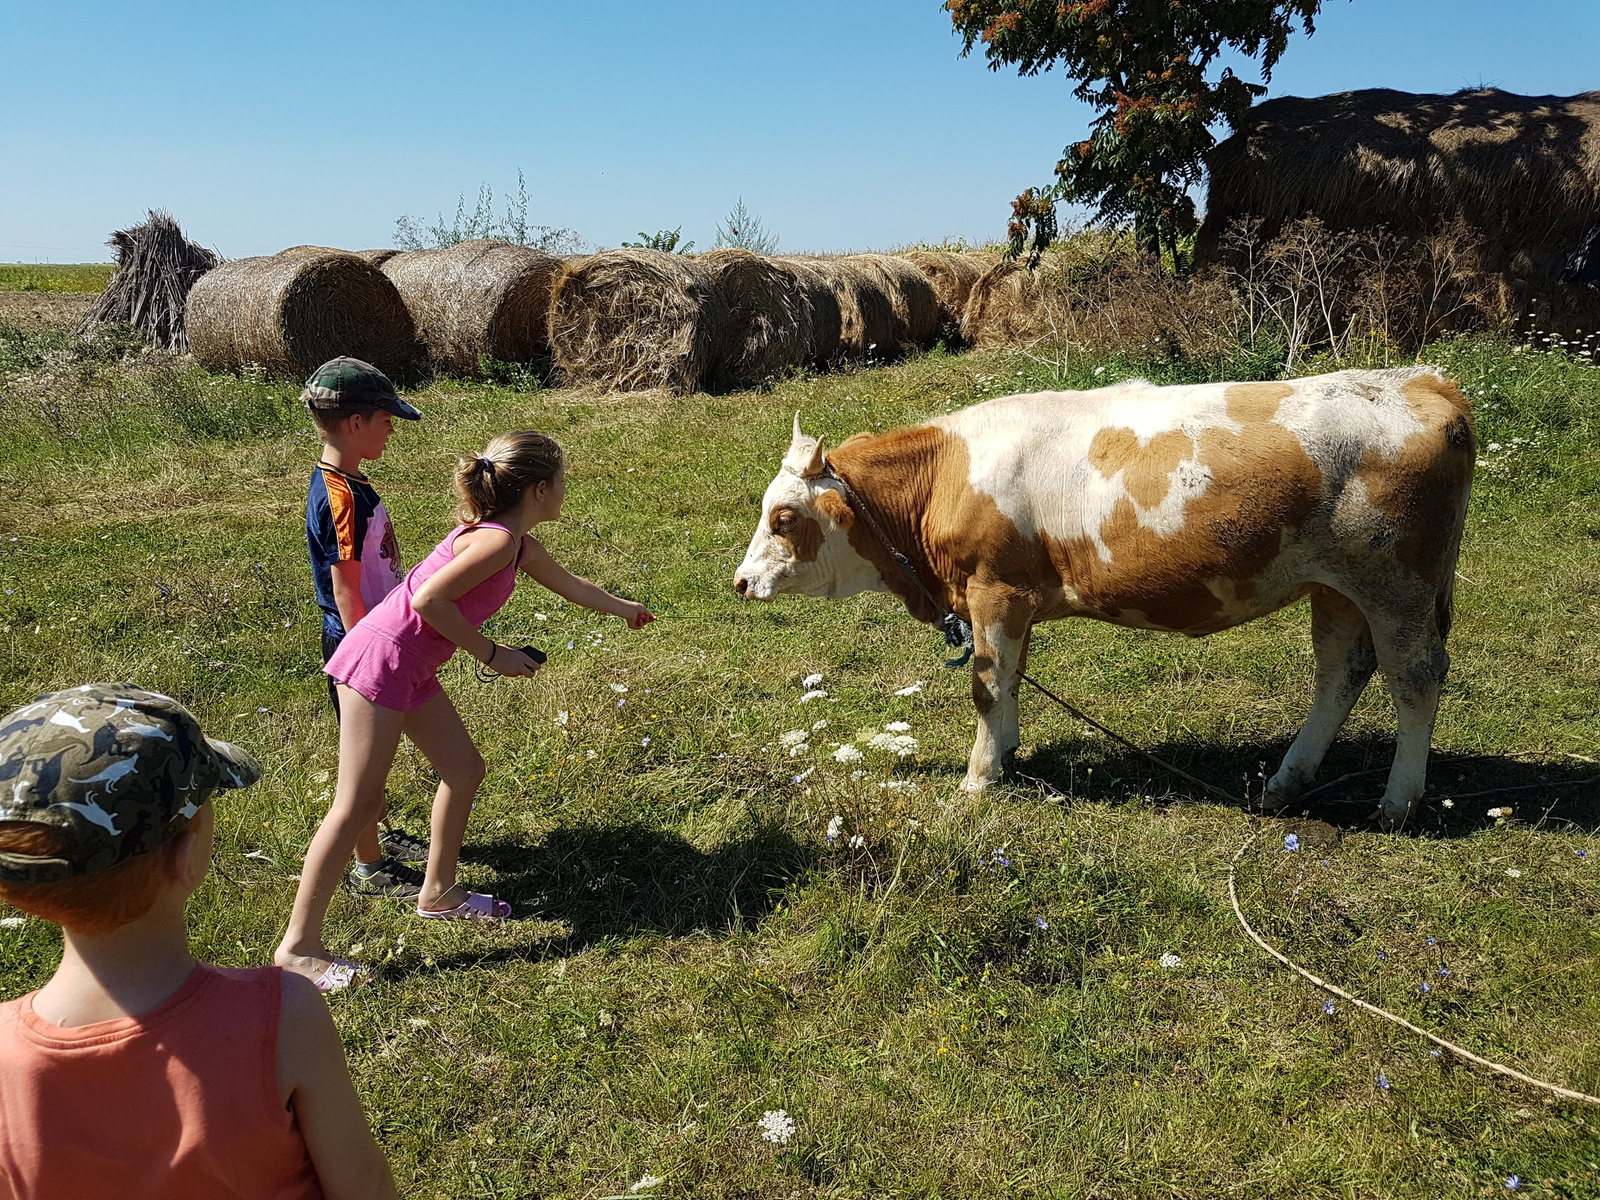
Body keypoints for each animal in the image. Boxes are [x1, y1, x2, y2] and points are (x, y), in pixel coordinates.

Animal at [732, 371, 1472, 832]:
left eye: (783, 517)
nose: (739, 581)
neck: (945, 474)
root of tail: (1423, 380)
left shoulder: (993, 590)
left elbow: (987, 687)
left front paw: (978, 779)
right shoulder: (1013, 601)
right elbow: (1010, 681)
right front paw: (1007, 753)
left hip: (1396, 587)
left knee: (1414, 678)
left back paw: (1397, 803)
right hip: (1337, 589)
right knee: (1340, 673)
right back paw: (1286, 781)